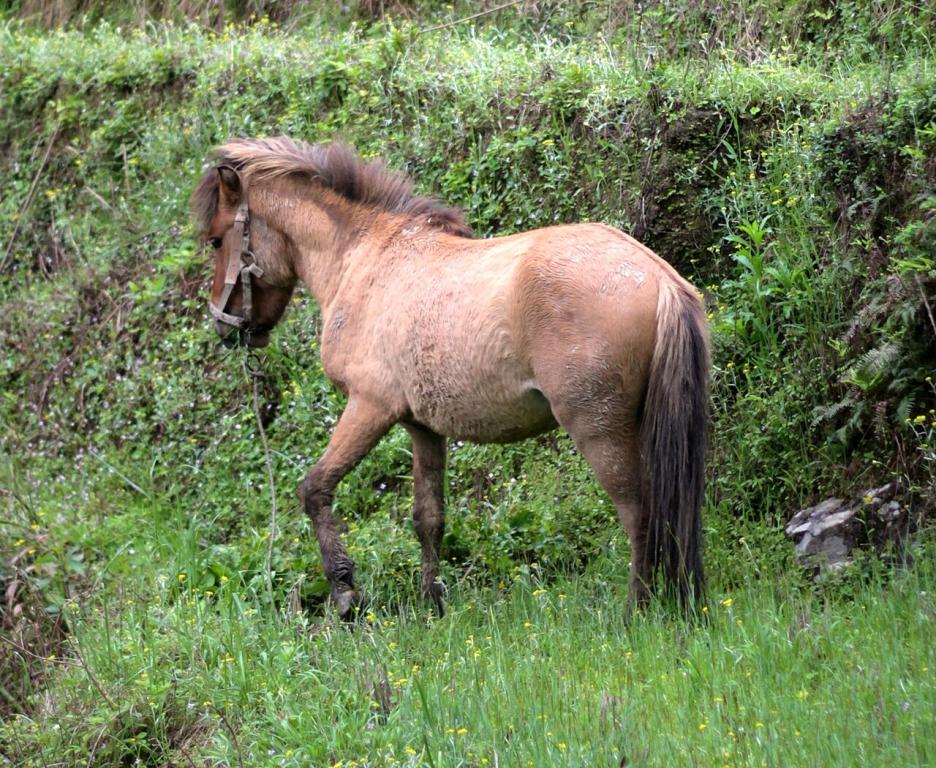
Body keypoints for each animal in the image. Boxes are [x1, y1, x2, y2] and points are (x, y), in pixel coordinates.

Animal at [192, 136, 710, 618]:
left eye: (218, 240)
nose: (222, 324)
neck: (364, 259)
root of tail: (658, 278)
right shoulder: (422, 428)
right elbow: (428, 518)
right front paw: (432, 603)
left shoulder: (369, 408)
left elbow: (315, 489)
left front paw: (345, 593)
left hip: (600, 431)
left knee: (639, 513)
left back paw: (635, 611)